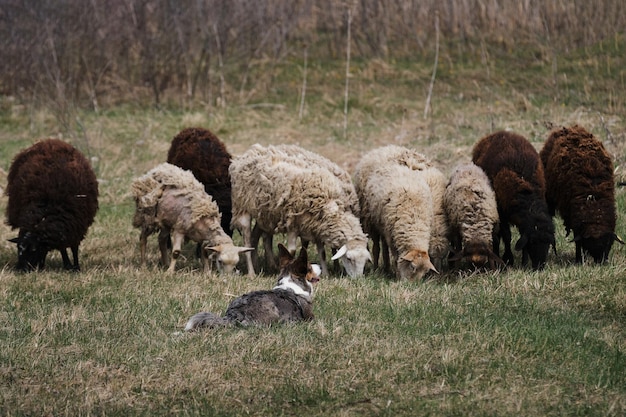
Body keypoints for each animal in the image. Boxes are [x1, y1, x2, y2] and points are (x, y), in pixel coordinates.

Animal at [4, 138, 98, 272]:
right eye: (18, 248)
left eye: (34, 249)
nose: (21, 269)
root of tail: (50, 141)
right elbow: (62, 248)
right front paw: (66, 265)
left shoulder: (75, 225)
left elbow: (74, 248)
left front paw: (75, 267)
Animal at [229, 143, 368, 276]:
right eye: (349, 259)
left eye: (365, 261)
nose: (357, 279)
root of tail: (246, 155)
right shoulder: (293, 224)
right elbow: (291, 251)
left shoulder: (315, 226)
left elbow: (322, 252)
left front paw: (326, 274)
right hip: (243, 208)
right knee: (247, 241)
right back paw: (252, 272)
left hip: (265, 213)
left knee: (258, 237)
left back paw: (265, 265)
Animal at [470, 128, 552, 270]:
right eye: (532, 242)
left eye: (548, 243)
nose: (539, 267)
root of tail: (499, 133)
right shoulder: (501, 212)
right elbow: (507, 236)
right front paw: (508, 259)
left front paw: (524, 262)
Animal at [536, 123, 620, 262]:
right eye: (589, 244)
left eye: (608, 244)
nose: (601, 262)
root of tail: (570, 128)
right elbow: (577, 241)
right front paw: (579, 259)